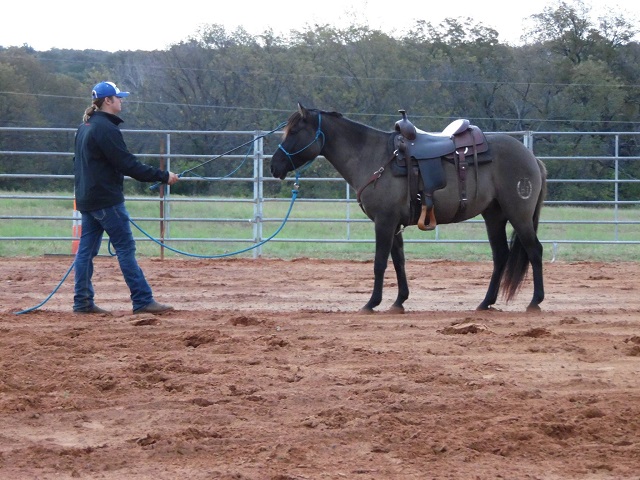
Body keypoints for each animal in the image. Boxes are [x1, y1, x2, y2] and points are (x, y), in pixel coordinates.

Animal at [268, 103, 544, 314]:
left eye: (294, 131)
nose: (274, 166)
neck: (373, 157)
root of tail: (531, 156)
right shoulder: (394, 225)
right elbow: (399, 261)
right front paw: (399, 301)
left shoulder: (384, 222)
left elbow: (380, 262)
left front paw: (372, 303)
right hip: (494, 215)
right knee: (500, 255)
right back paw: (485, 303)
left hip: (518, 215)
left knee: (534, 250)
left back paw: (535, 302)